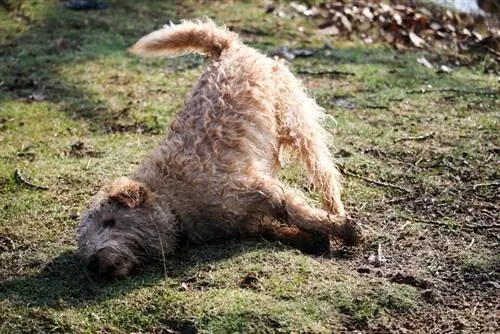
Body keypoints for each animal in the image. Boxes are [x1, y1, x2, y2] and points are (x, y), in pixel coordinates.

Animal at [76, 19, 362, 278]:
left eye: (110, 221)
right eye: (84, 242)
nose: (93, 264)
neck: (170, 197)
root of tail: (229, 48)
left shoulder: (263, 190)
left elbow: (299, 212)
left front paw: (343, 229)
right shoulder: (247, 219)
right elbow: (281, 229)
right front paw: (314, 239)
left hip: (299, 127)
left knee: (325, 174)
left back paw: (336, 209)